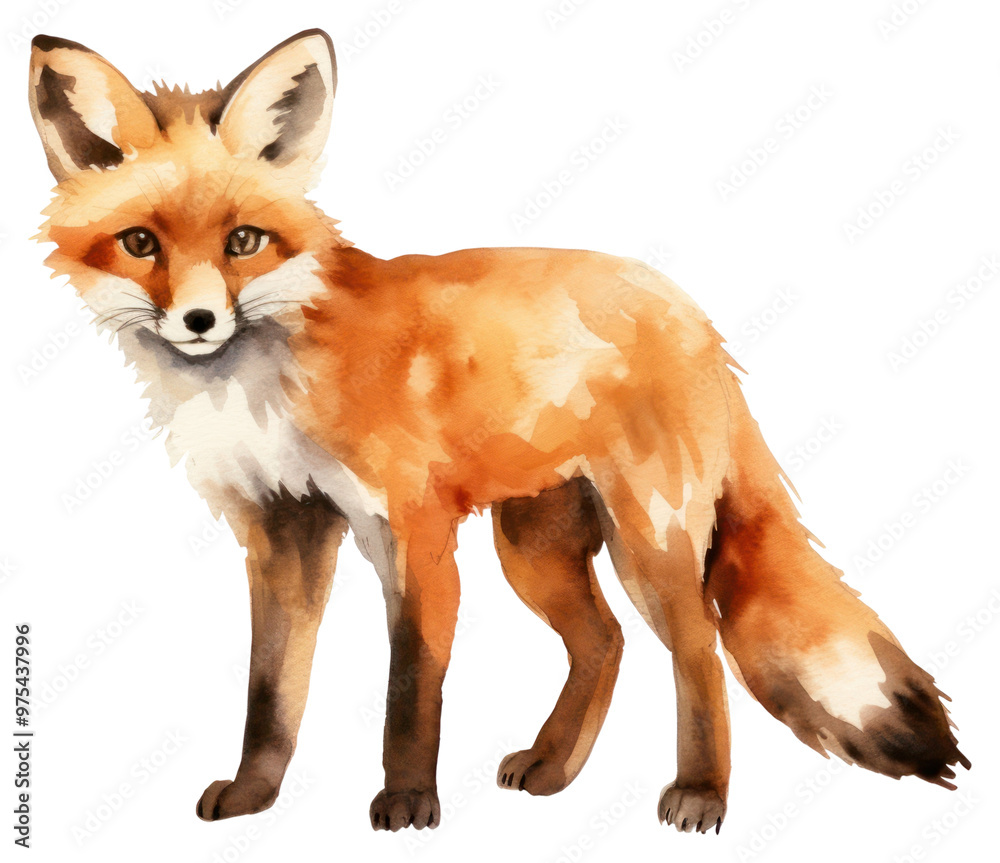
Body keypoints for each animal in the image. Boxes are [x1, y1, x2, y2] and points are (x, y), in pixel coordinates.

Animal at [28, 28, 969, 835]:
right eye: (140, 242)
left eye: (244, 241)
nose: (196, 321)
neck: (271, 380)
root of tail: (693, 313)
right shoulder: (282, 528)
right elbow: (271, 689)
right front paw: (256, 793)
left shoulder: (411, 529)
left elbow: (412, 689)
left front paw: (408, 801)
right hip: (534, 547)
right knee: (605, 642)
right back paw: (556, 768)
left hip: (648, 541)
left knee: (698, 649)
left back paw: (701, 789)